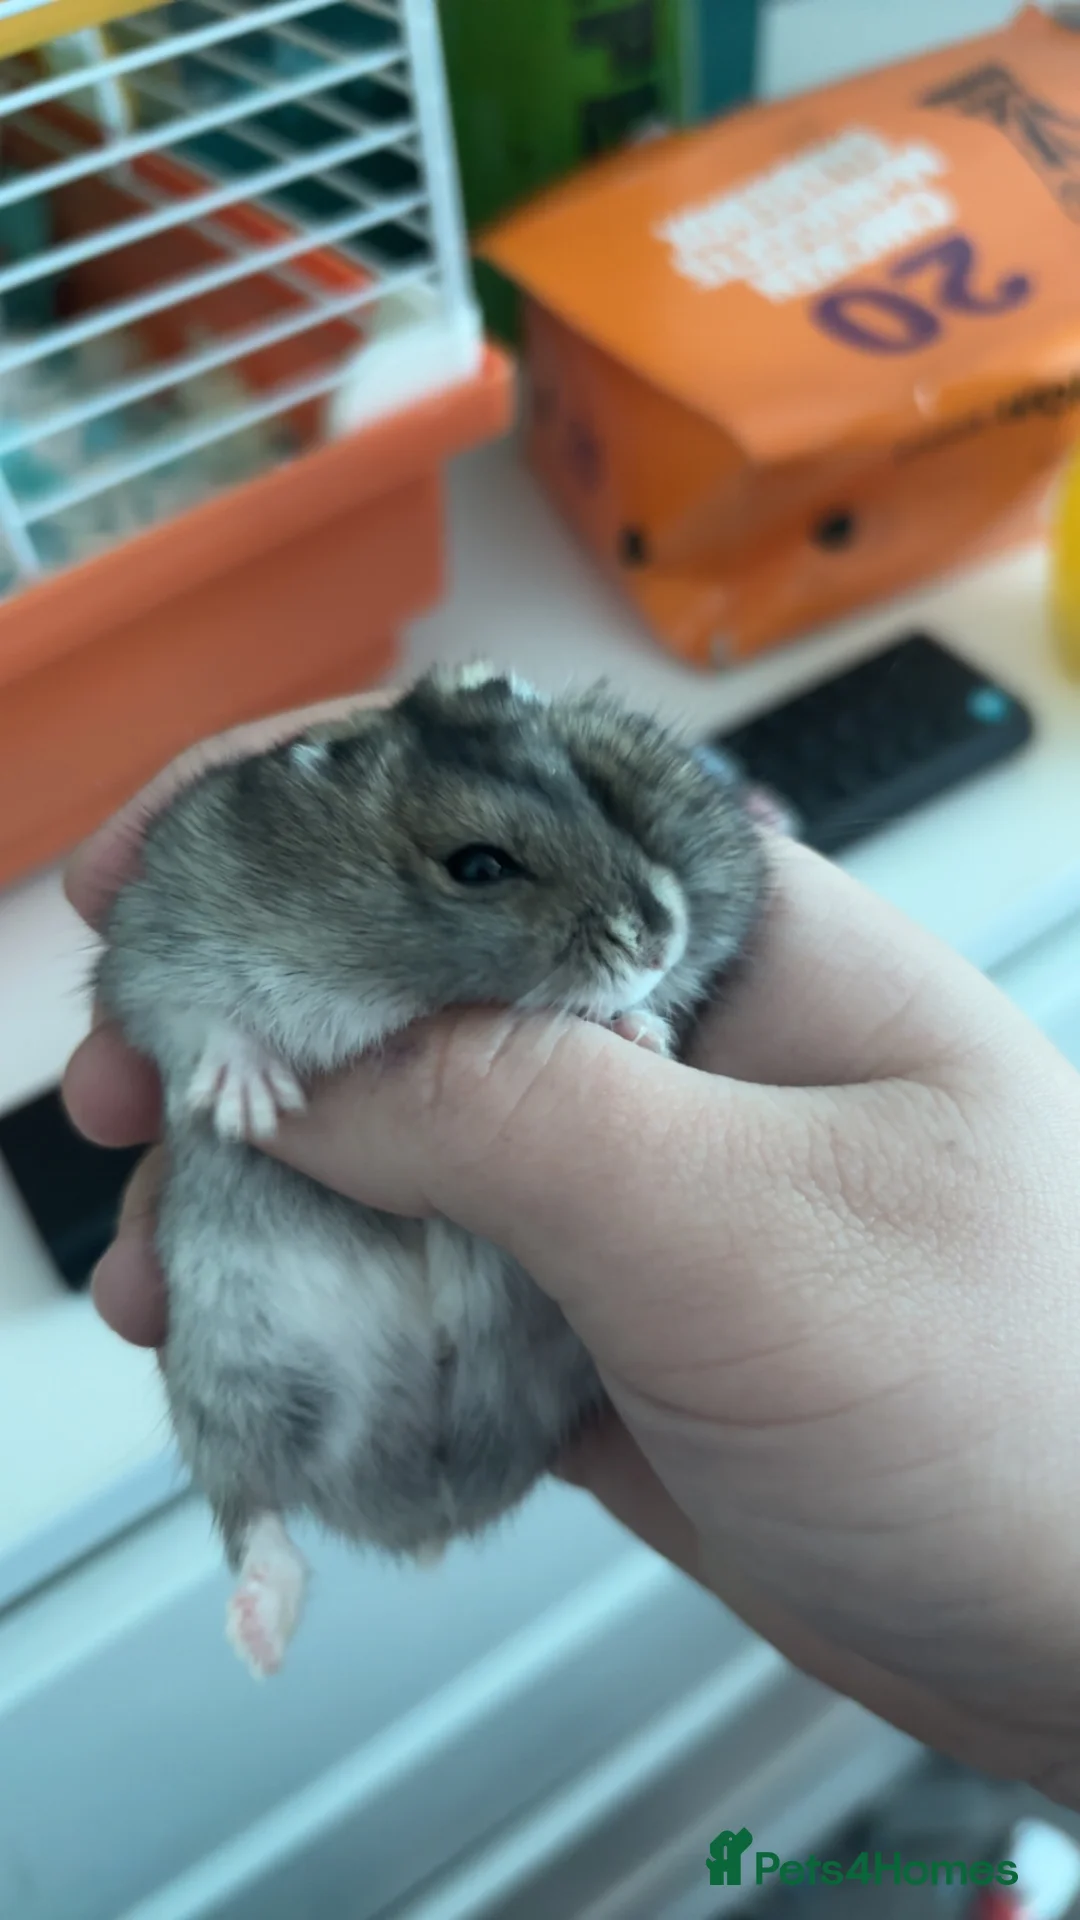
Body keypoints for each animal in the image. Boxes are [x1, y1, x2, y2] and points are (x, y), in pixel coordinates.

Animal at [97, 665, 765, 1676]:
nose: (661, 939)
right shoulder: (154, 942)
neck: (399, 978)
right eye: (479, 867)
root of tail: (422, 1509)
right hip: (231, 1379)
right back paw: (261, 1643)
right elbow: (201, 1019)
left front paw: (642, 1031)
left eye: (600, 795)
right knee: (250, 1509)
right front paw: (251, 1107)